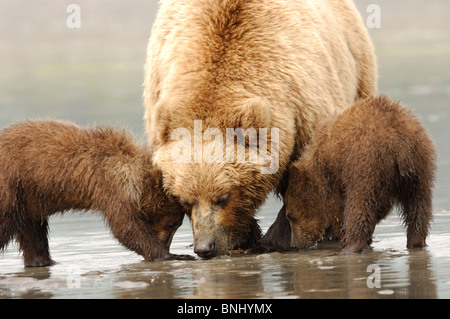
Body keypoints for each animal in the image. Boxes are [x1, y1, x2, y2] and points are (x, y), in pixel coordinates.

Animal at [144, 0, 376, 258]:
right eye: (185, 200)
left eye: (223, 198)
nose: (205, 247)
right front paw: (244, 236)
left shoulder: (303, 101)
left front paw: (276, 238)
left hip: (357, 65)